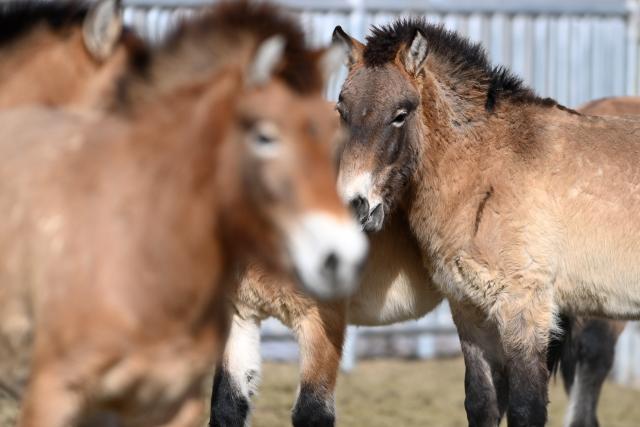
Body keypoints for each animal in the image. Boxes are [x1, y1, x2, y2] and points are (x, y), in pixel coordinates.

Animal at [333, 19, 640, 427]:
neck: (486, 169)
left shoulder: (525, 309)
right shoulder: (470, 310)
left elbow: (526, 408)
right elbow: (482, 402)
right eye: (342, 110)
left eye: (400, 114)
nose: (356, 205)